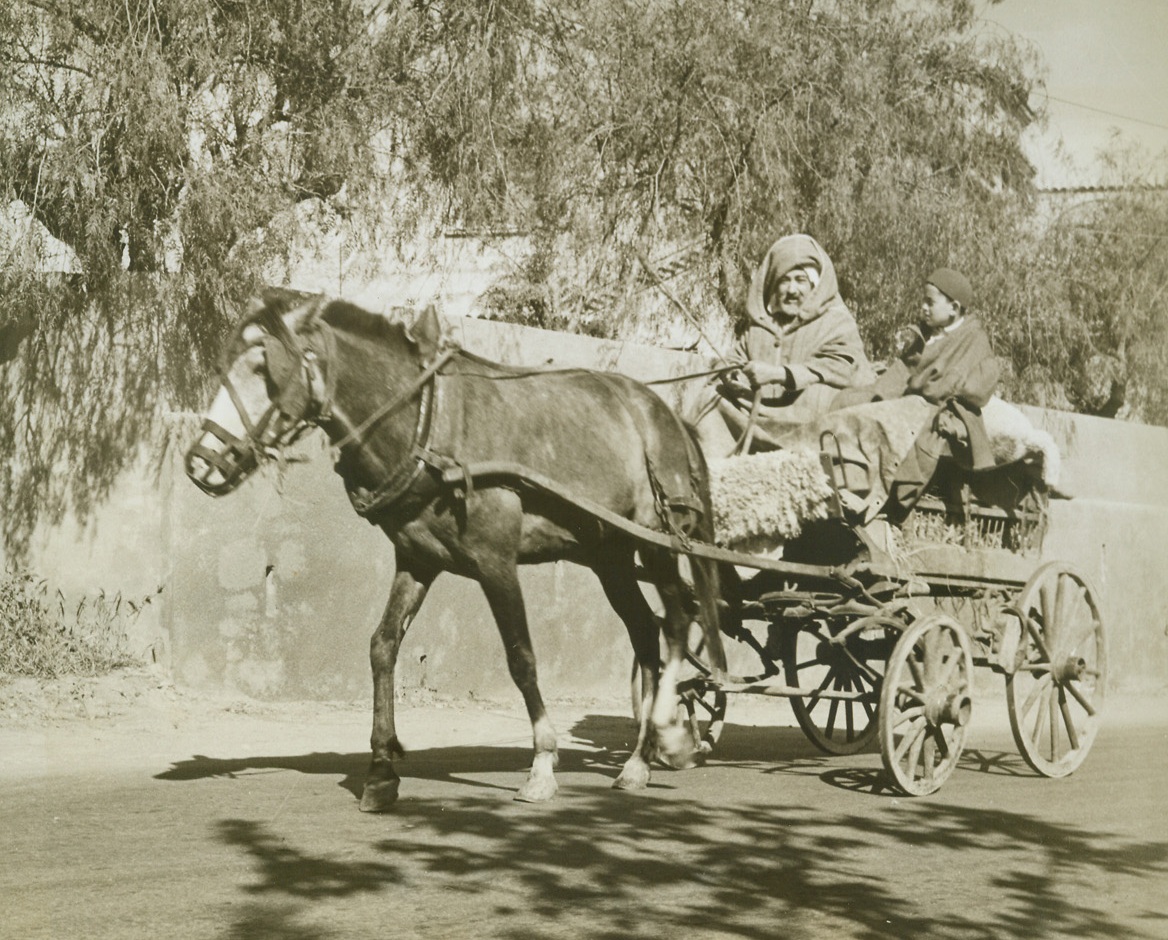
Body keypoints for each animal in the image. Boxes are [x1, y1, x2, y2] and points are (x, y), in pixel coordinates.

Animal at [183, 291, 724, 808]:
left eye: (264, 367)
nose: (201, 461)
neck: (428, 425)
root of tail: (667, 413)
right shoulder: (417, 560)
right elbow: (382, 646)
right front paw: (381, 769)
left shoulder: (497, 563)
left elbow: (521, 658)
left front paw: (542, 764)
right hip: (608, 556)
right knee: (645, 634)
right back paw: (638, 760)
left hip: (655, 540)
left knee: (677, 621)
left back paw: (666, 729)